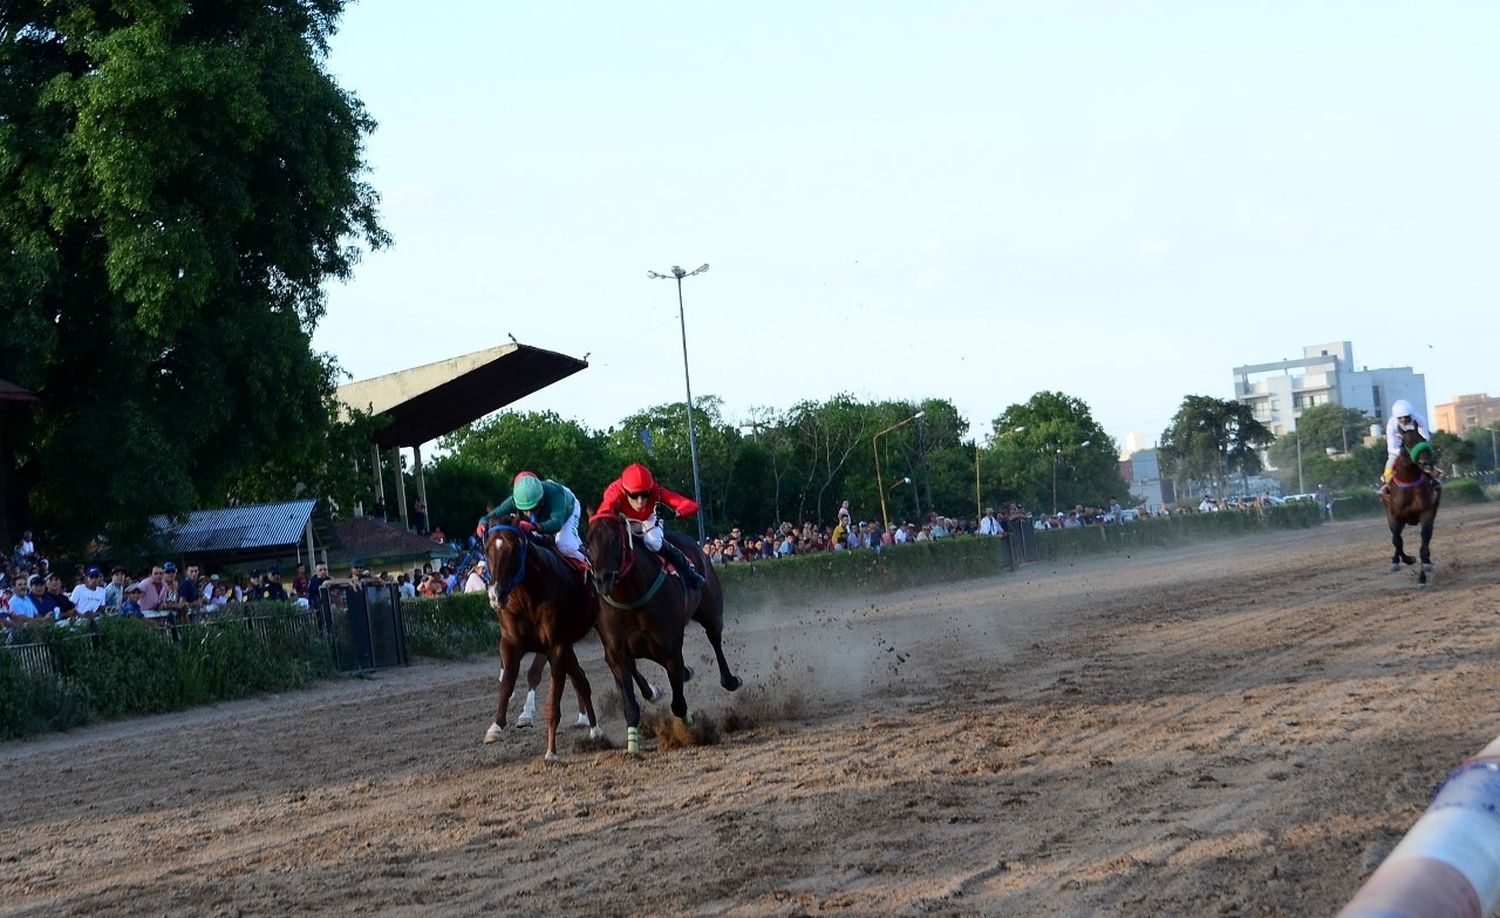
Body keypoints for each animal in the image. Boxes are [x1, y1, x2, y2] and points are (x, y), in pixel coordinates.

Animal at [588, 513, 747, 756]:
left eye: (615, 539)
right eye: (588, 542)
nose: (601, 579)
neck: (631, 599)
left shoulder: (670, 647)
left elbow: (678, 704)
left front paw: (690, 729)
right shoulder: (616, 653)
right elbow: (630, 705)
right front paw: (632, 746)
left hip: (710, 610)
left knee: (715, 639)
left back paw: (729, 679)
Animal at [1380, 426, 1440, 588]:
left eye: (1423, 439)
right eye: (1407, 442)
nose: (1426, 463)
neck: (1408, 482)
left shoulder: (1426, 512)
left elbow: (1424, 541)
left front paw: (1423, 574)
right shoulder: (1394, 515)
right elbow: (1397, 540)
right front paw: (1408, 559)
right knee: (1396, 538)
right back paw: (1395, 561)